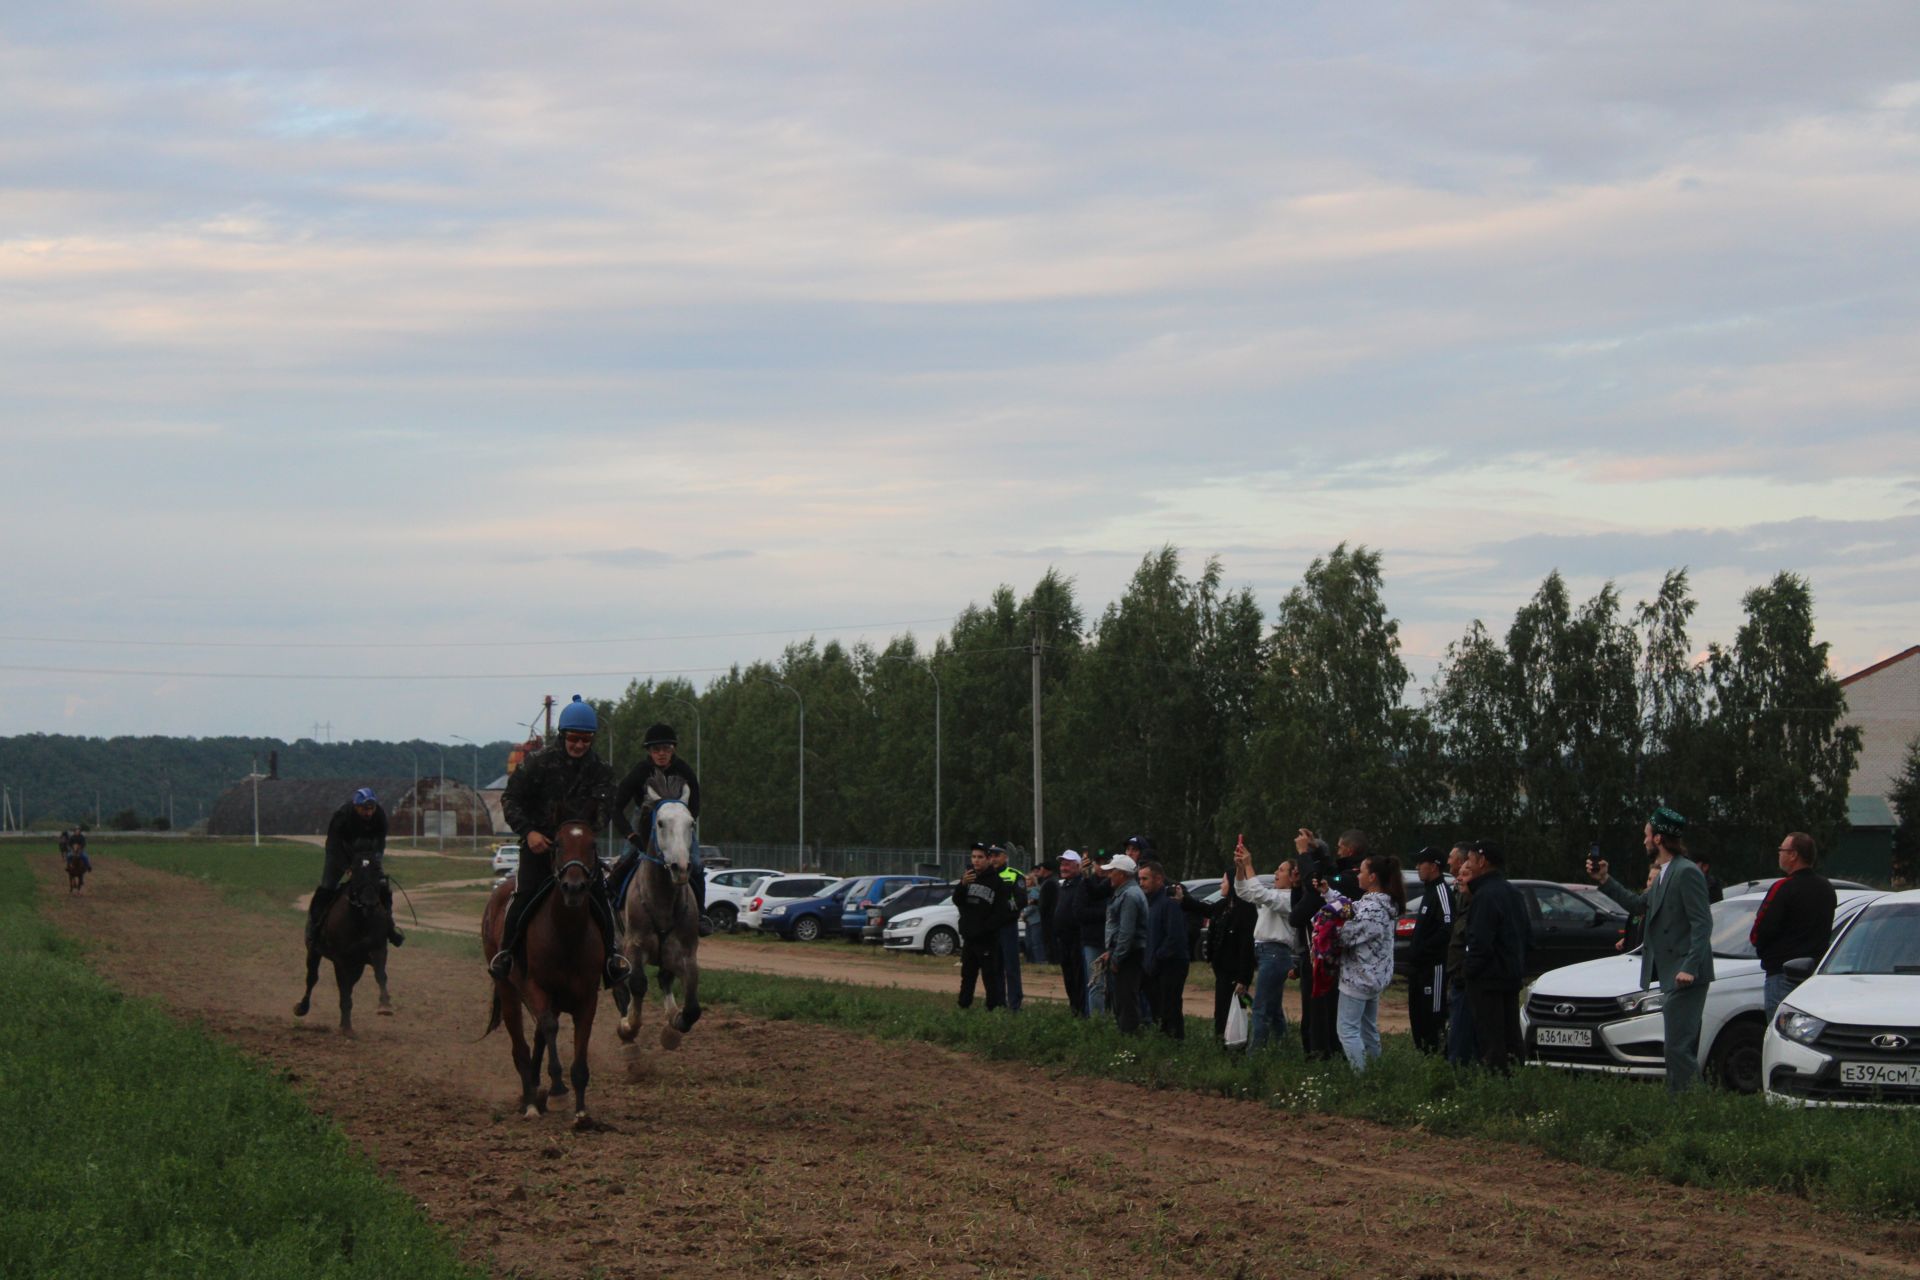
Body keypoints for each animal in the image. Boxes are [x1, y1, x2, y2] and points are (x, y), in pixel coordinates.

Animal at [291, 855, 393, 1036]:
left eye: (378, 876)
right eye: (357, 877)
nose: (370, 904)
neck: (361, 921)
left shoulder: (378, 950)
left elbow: (380, 975)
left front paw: (385, 1005)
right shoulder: (340, 960)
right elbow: (343, 990)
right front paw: (346, 1027)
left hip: (357, 965)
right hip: (314, 953)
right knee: (312, 978)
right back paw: (302, 1008)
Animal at [478, 825, 599, 1128]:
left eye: (592, 845)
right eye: (557, 844)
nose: (573, 887)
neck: (566, 934)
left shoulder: (587, 997)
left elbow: (577, 1048)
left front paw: (581, 1112)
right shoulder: (536, 988)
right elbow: (549, 1027)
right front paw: (557, 1091)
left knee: (537, 1040)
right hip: (508, 991)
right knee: (520, 1046)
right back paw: (531, 1102)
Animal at [614, 786, 706, 1059]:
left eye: (691, 823)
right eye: (661, 823)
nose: (681, 867)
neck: (662, 900)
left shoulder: (686, 953)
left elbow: (692, 1008)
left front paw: (672, 1027)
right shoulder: (633, 946)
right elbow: (637, 984)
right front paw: (628, 1026)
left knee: (664, 978)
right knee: (620, 983)